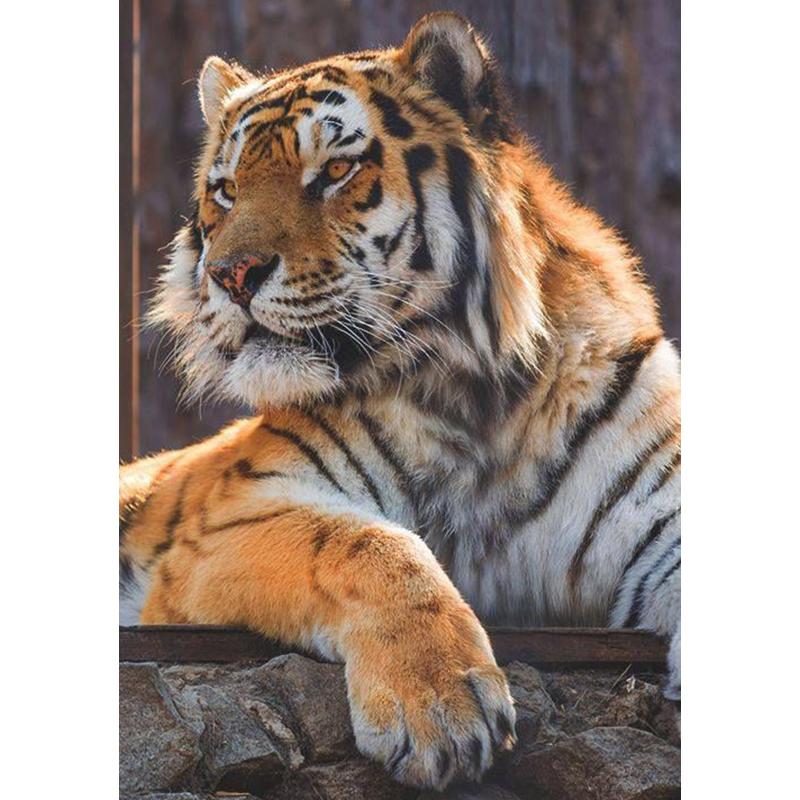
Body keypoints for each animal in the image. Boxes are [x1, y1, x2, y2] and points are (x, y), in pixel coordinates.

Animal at [120, 12, 681, 791]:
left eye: (333, 172)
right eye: (225, 189)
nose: (231, 274)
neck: (480, 399)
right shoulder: (233, 511)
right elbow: (371, 542)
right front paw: (441, 706)